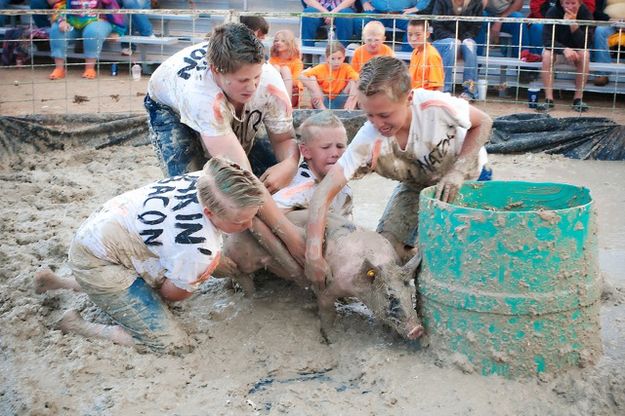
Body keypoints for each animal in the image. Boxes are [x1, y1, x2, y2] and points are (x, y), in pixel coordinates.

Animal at [221, 210, 424, 342]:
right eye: (390, 296)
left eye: (411, 294)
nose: (418, 330)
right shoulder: (326, 286)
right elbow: (327, 312)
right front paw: (330, 338)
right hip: (238, 258)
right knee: (242, 278)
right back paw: (250, 295)